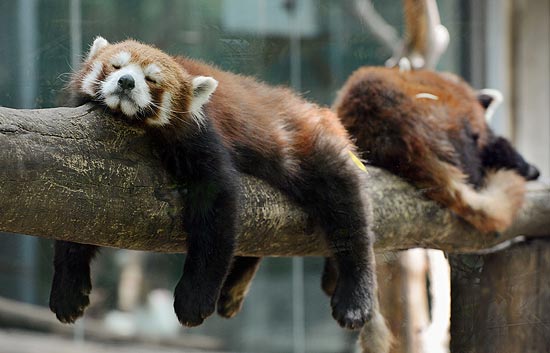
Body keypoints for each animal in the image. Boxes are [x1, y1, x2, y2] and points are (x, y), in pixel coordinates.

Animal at [49, 37, 390, 340]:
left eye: (151, 79)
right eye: (116, 65)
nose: (126, 82)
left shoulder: (203, 137)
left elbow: (217, 216)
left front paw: (194, 300)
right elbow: (74, 222)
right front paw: (69, 290)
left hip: (313, 147)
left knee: (347, 215)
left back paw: (355, 297)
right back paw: (234, 288)